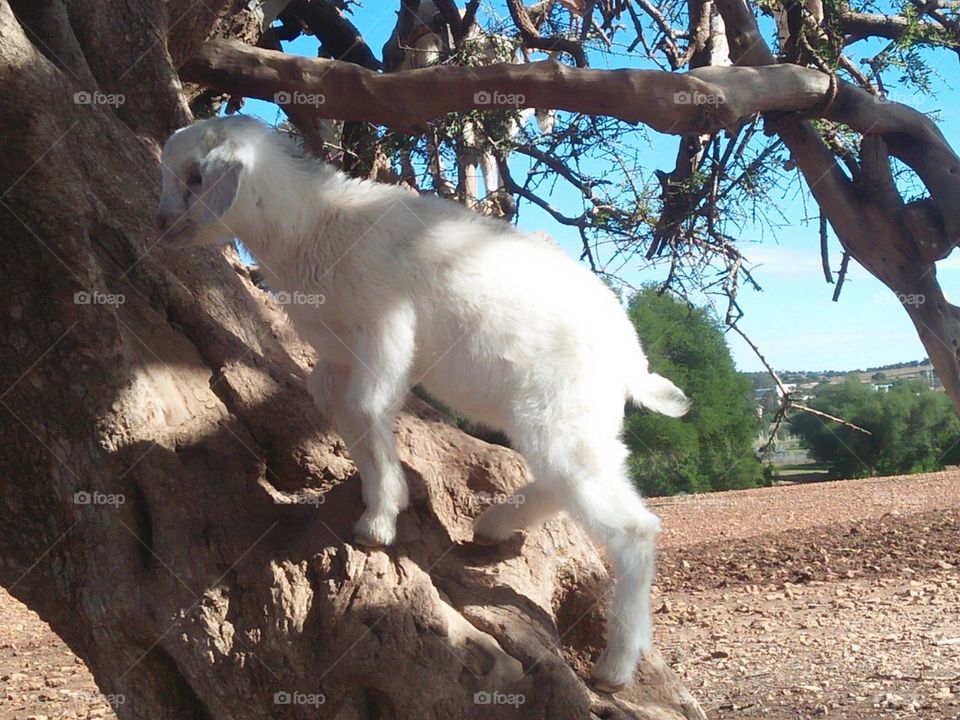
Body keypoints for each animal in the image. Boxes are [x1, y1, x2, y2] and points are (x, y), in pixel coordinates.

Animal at [156, 116, 688, 692]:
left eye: (195, 177)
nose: (161, 225)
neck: (315, 226)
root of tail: (631, 359)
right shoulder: (338, 354)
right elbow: (339, 406)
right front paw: (383, 497)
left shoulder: (384, 326)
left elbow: (367, 407)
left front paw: (378, 522)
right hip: (570, 422)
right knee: (568, 480)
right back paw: (494, 526)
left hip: (564, 414)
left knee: (632, 528)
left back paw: (614, 667)